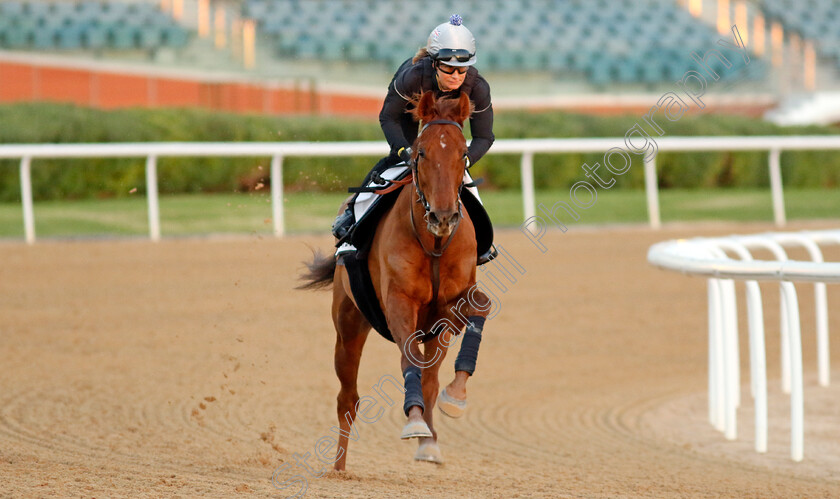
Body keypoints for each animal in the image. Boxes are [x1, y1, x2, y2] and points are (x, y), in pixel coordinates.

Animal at [296, 92, 488, 470]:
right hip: (348, 326)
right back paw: (339, 467)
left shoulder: (448, 308)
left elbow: (481, 307)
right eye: (421, 152)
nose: (443, 216)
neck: (434, 245)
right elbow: (407, 356)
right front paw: (413, 420)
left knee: (430, 379)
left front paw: (455, 398)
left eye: (463, 154)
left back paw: (429, 440)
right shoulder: (399, 302)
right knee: (347, 398)